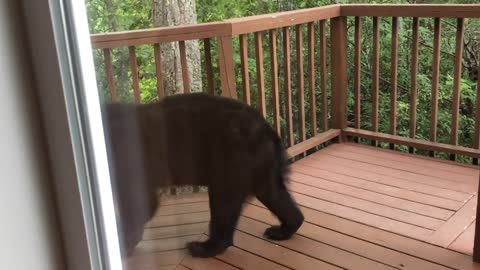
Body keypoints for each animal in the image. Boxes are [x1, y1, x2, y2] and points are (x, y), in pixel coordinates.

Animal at [101, 92, 304, 258]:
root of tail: (267, 129)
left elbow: (140, 202)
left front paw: (122, 244)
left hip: (232, 158)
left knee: (223, 202)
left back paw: (203, 247)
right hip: (260, 164)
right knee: (273, 193)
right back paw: (283, 229)